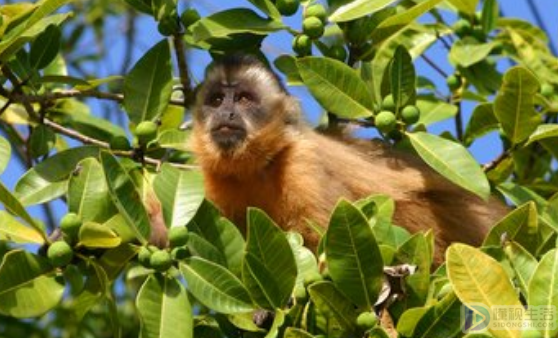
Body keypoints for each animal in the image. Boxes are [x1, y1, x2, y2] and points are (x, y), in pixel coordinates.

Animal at [192, 53, 512, 264]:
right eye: (217, 100)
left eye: (244, 99)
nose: (226, 113)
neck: (259, 168)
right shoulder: (212, 184)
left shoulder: (303, 165)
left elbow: (325, 243)